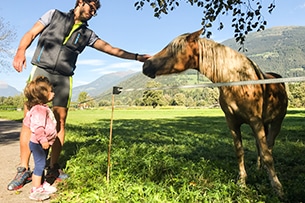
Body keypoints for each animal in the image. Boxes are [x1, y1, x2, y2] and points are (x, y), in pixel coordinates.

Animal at [141, 29, 286, 197]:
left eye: (173, 49)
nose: (145, 65)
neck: (237, 81)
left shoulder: (255, 121)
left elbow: (267, 155)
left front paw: (278, 188)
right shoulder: (232, 122)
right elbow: (240, 151)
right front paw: (242, 182)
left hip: (276, 122)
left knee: (269, 146)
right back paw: (259, 169)